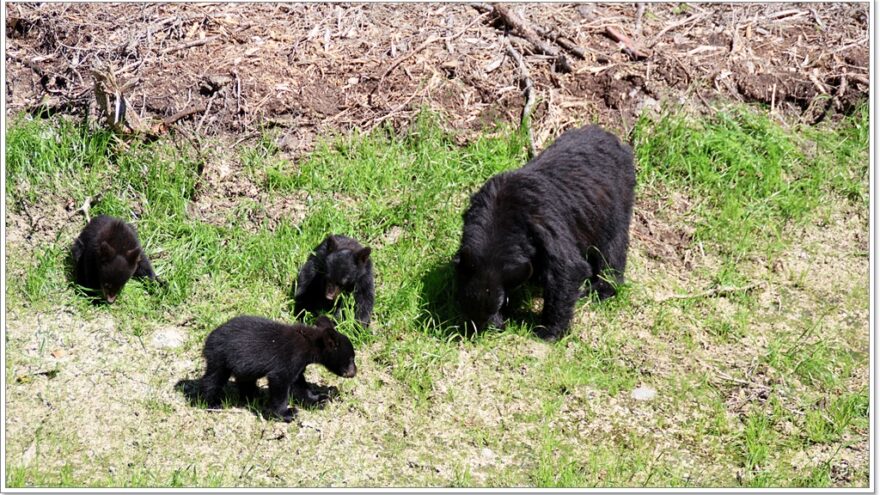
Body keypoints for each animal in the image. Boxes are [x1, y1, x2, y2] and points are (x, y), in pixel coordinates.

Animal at [200, 314, 358, 422]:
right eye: (351, 358)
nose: (354, 372)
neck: (309, 343)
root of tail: (208, 338)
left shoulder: (298, 364)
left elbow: (299, 383)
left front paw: (319, 399)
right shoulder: (289, 358)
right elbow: (280, 382)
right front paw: (287, 413)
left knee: (245, 380)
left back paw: (253, 397)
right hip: (220, 356)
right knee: (213, 378)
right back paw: (213, 403)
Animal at [454, 125, 632, 340]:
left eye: (497, 305)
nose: (479, 330)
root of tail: (615, 139)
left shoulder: (544, 225)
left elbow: (567, 269)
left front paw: (549, 331)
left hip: (617, 200)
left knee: (613, 247)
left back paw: (602, 289)